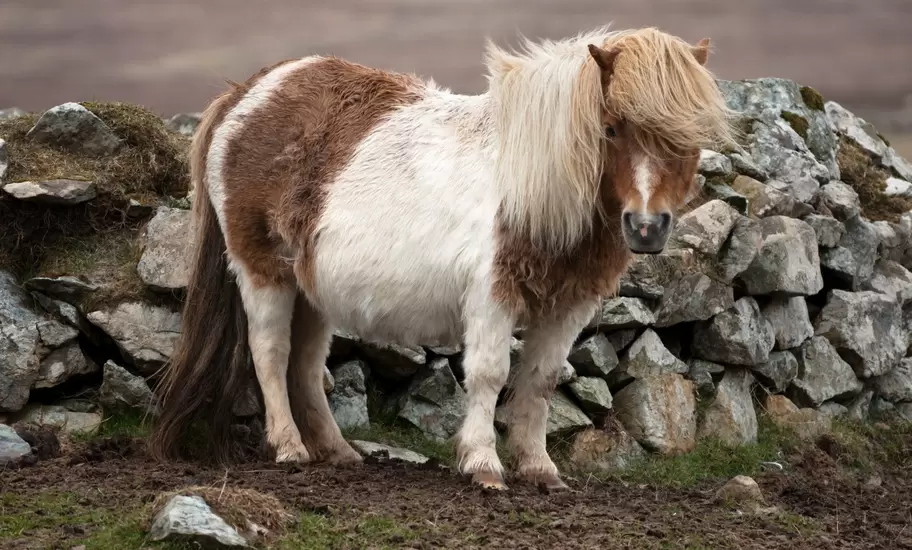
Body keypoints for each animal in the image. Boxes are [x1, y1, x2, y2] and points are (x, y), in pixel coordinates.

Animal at [148, 24, 737, 491]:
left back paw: (337, 452)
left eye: (688, 137)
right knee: (270, 354)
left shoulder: (567, 305)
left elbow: (542, 379)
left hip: (312, 290)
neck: (533, 184)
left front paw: (540, 469)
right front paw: (483, 464)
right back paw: (289, 447)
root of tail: (248, 94)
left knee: (306, 367)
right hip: (263, 272)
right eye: (611, 128)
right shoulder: (492, 295)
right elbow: (490, 374)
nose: (646, 227)